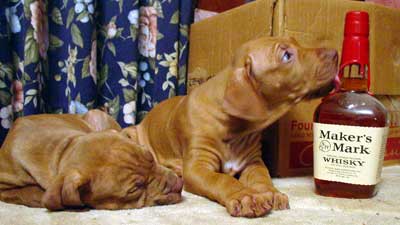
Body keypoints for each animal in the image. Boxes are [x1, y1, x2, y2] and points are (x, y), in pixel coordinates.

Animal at [0, 110, 184, 211]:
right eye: (136, 188)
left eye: (151, 157)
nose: (178, 184)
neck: (61, 150)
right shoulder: (4, 187)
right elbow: (29, 193)